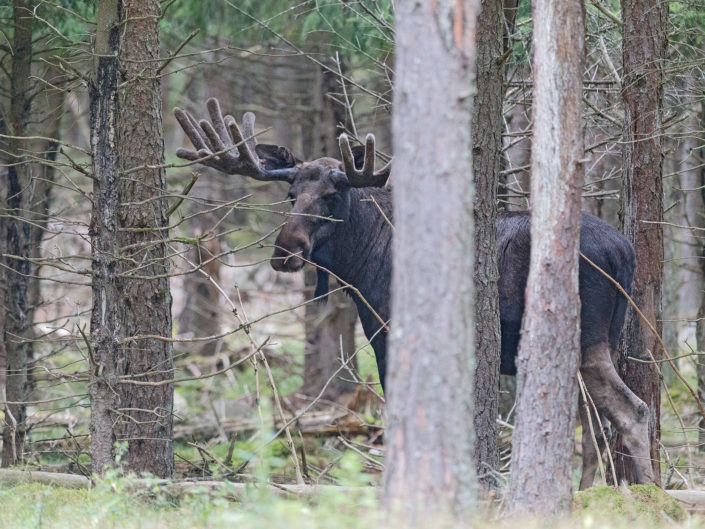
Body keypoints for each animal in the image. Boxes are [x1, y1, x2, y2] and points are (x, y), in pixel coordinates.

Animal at [174, 97, 654, 489]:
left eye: (331, 195)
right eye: (291, 193)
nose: (285, 252)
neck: (362, 262)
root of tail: (624, 251)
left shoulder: (387, 333)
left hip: (587, 337)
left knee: (632, 411)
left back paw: (645, 490)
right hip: (604, 338)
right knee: (596, 425)